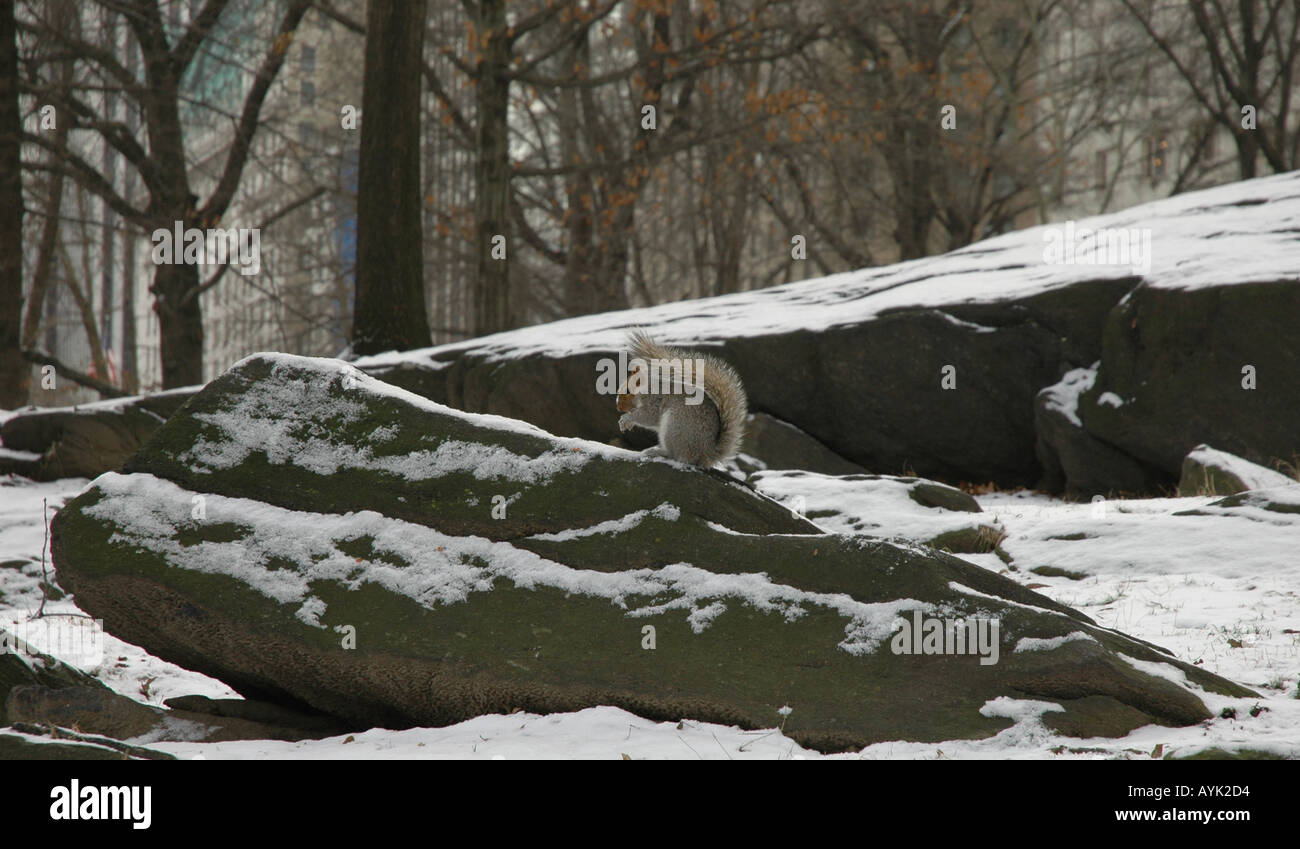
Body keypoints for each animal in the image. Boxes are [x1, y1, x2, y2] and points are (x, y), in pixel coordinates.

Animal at [613, 328, 748, 462]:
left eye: (628, 391)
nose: (618, 408)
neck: (645, 388)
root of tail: (705, 453)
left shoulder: (655, 399)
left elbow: (649, 415)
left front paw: (627, 418)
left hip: (674, 426)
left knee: (675, 455)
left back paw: (658, 451)